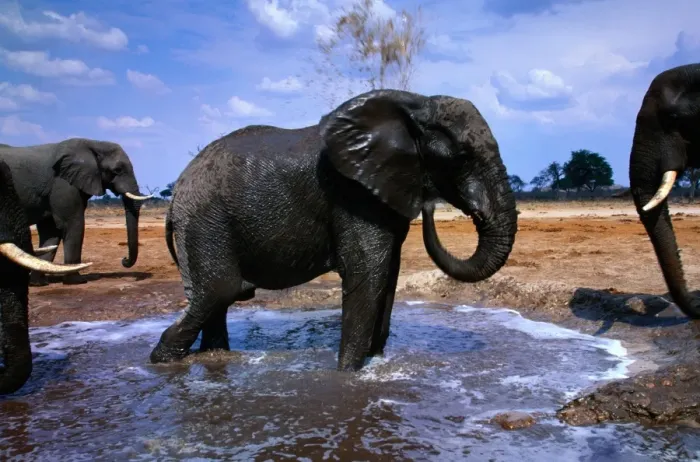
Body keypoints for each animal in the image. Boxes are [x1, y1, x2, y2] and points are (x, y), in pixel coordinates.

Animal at [0, 138, 152, 286]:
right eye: (117, 170)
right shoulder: (63, 183)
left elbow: (51, 231)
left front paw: (39, 283)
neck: (93, 143)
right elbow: (73, 223)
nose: (124, 260)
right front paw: (77, 281)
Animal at [150, 89, 518, 371]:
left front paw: (372, 363)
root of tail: (177, 190)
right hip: (204, 221)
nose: (431, 206)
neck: (417, 104)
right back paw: (162, 362)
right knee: (219, 291)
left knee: (215, 300)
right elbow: (367, 276)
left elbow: (387, 278)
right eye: (461, 157)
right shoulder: (354, 196)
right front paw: (346, 378)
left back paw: (215, 359)